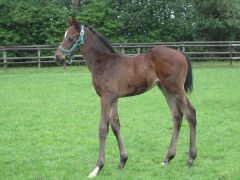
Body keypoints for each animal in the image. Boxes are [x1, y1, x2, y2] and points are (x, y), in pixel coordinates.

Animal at [54, 17, 197, 177]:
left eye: (70, 38)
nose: (57, 57)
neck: (103, 62)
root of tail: (180, 53)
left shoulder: (106, 98)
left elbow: (103, 128)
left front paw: (97, 167)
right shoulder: (114, 98)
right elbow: (116, 126)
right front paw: (122, 161)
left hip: (176, 88)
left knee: (190, 113)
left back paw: (190, 159)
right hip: (165, 89)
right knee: (177, 116)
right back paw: (167, 159)